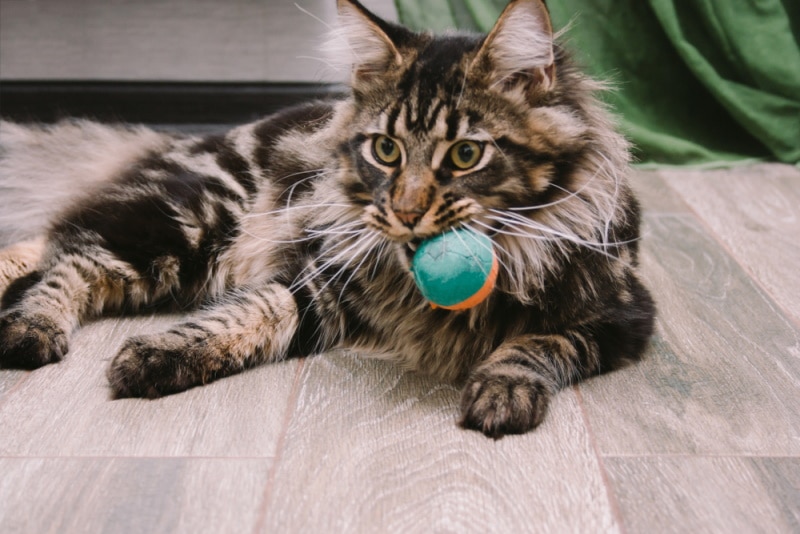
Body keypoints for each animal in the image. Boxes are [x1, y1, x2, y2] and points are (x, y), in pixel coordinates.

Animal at [0, 0, 656, 440]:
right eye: (386, 150)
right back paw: (29, 328)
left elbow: (542, 343)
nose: (406, 213)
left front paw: (503, 389)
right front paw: (157, 354)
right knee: (70, 256)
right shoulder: (323, 282)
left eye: (467, 154)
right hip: (190, 223)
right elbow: (247, 313)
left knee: (56, 242)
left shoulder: (622, 316)